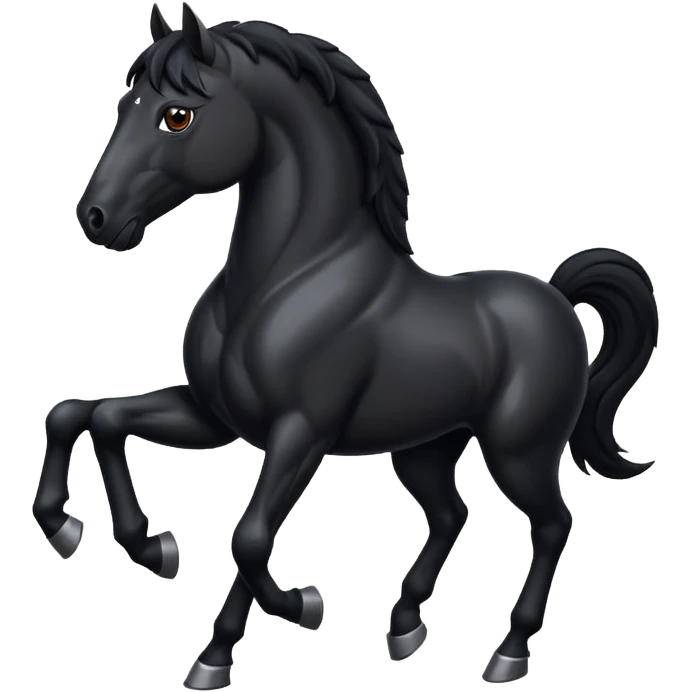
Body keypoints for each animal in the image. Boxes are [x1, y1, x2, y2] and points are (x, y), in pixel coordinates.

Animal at [35, 3, 660, 688]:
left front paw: (293, 609)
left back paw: (507, 652)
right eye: (126, 103)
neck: (286, 280)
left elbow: (249, 536)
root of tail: (556, 297)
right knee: (452, 514)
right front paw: (122, 541)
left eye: (177, 114)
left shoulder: (302, 431)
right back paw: (406, 625)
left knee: (552, 526)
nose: (94, 218)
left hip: (519, 450)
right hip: (424, 448)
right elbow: (89, 415)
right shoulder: (215, 417)